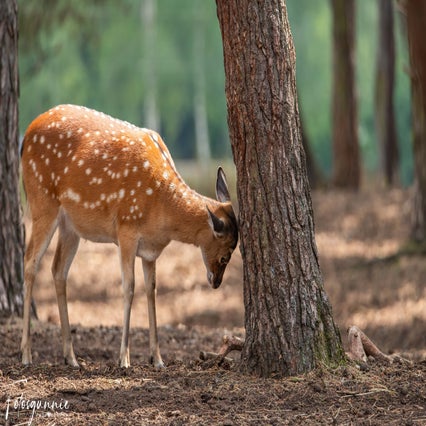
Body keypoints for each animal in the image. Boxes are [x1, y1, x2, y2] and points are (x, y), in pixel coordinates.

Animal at [20, 105, 236, 368]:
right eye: (226, 256)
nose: (216, 282)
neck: (162, 210)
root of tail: (27, 133)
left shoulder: (151, 250)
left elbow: (151, 290)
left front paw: (157, 358)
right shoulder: (126, 229)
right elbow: (129, 287)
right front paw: (124, 358)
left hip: (70, 225)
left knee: (58, 269)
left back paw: (71, 357)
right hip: (42, 201)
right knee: (30, 262)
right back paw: (26, 354)